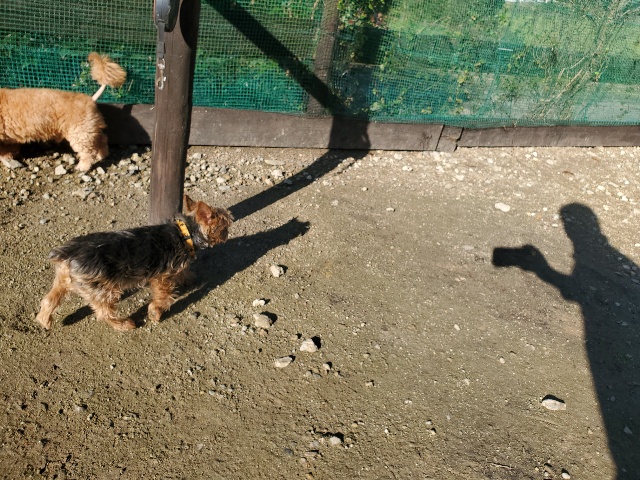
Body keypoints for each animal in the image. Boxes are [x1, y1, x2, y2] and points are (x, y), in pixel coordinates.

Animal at [36, 195, 233, 331]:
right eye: (225, 226)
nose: (228, 233)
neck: (185, 233)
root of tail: (68, 253)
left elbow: (183, 272)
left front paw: (189, 278)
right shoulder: (161, 277)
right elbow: (165, 296)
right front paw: (155, 312)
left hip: (63, 280)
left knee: (49, 300)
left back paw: (45, 321)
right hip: (106, 289)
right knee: (103, 312)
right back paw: (124, 324)